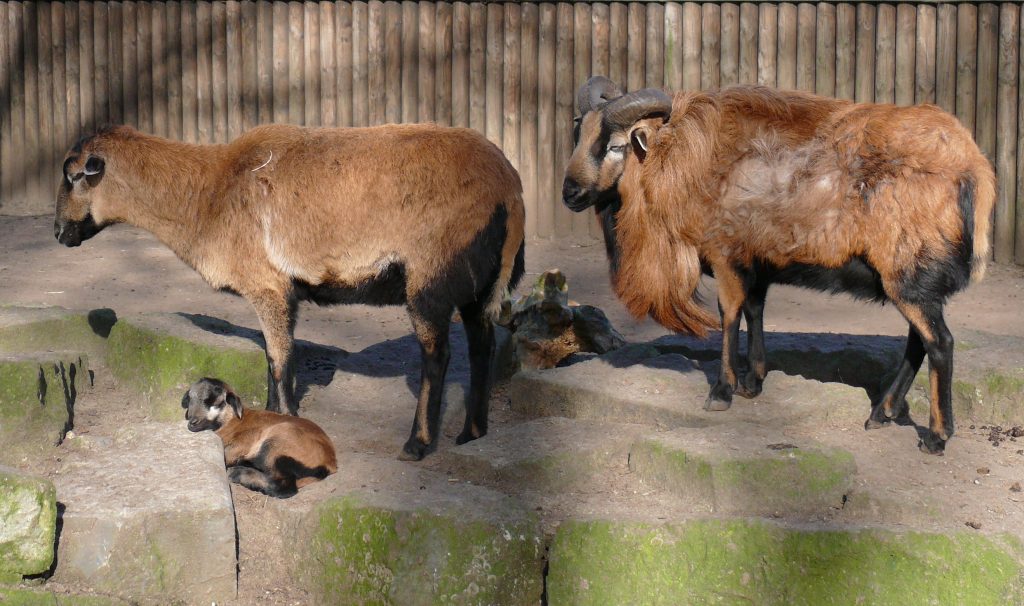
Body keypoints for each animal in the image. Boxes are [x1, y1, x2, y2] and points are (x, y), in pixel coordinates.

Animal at [55, 123, 526, 461]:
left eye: (76, 176)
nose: (58, 233)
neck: (207, 194)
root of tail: (510, 187)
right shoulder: (285, 290)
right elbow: (274, 358)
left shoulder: (266, 284)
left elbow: (280, 361)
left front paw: (285, 421)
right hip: (478, 282)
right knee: (482, 347)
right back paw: (471, 433)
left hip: (432, 276)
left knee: (438, 357)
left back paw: (418, 444)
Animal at [182, 377, 337, 498]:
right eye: (190, 399)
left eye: (216, 402)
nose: (192, 422)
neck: (233, 421)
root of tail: (329, 463)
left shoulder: (241, 443)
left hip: (276, 445)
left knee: (285, 487)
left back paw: (238, 473)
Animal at [562, 77, 995, 455]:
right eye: (580, 136)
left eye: (615, 145)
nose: (570, 193)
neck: (681, 158)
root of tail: (974, 170)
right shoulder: (757, 263)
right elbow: (755, 310)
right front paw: (752, 382)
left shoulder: (725, 255)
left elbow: (729, 314)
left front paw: (722, 391)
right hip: (912, 281)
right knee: (918, 342)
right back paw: (881, 413)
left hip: (909, 276)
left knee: (940, 343)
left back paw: (935, 437)